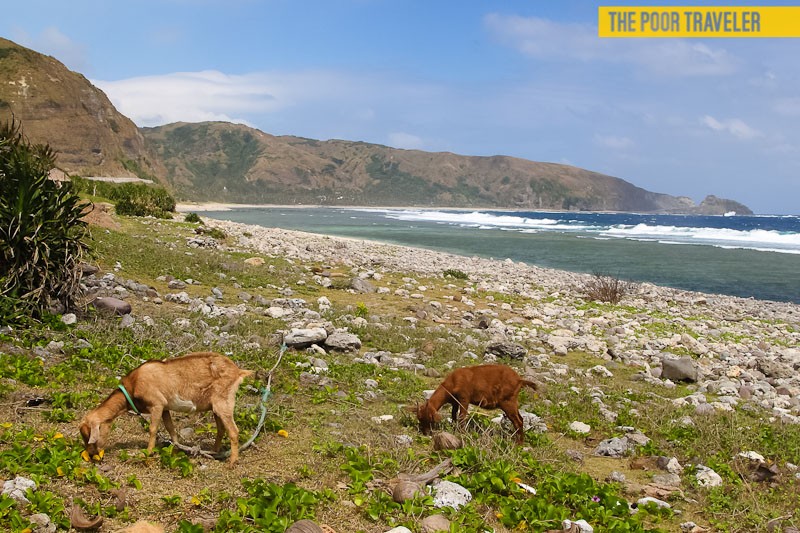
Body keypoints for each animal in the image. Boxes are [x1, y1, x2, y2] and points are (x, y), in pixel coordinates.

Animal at [79, 352, 252, 464]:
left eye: (87, 436)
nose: (91, 455)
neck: (133, 386)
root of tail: (238, 371)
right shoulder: (166, 408)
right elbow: (171, 429)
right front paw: (175, 450)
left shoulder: (157, 404)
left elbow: (153, 429)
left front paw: (148, 453)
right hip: (216, 406)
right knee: (221, 429)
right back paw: (214, 452)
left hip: (224, 401)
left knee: (233, 431)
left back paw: (231, 462)